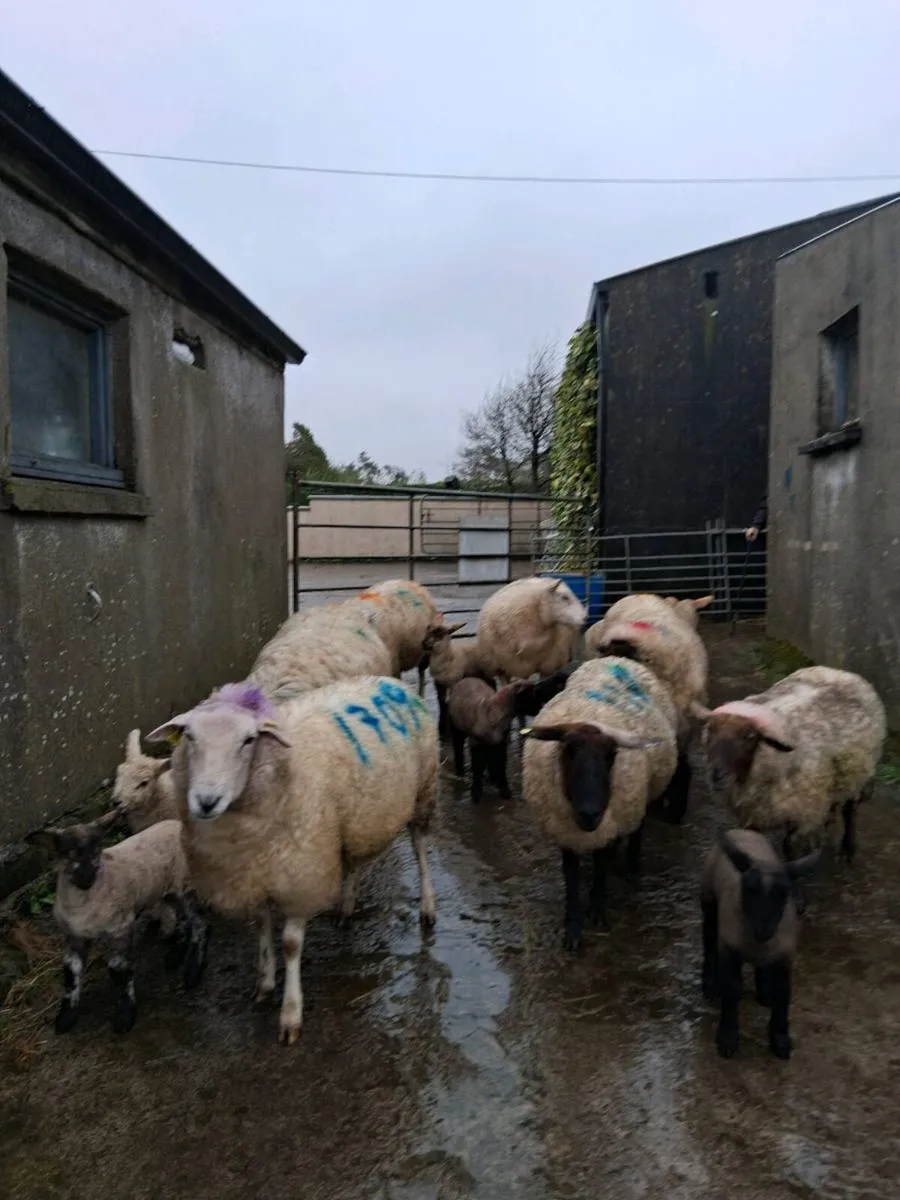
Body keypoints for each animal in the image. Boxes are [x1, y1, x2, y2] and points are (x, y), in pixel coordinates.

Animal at [25, 813, 209, 1034]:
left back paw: (193, 971)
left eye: (98, 849)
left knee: (200, 924)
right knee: (181, 918)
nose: (87, 878)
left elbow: (118, 968)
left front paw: (124, 1015)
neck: (83, 901)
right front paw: (66, 1017)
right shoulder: (76, 936)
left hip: (184, 886)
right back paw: (175, 954)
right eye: (71, 853)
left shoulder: (121, 928)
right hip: (168, 890)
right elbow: (71, 971)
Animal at [146, 677, 438, 1045]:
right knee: (354, 861)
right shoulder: (255, 874)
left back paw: (427, 907)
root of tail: (390, 682)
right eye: (189, 736)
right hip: (353, 820)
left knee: (420, 849)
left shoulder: (301, 874)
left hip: (422, 793)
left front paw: (290, 1014)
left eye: (248, 740)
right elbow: (262, 927)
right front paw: (265, 983)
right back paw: (346, 905)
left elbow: (290, 944)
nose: (207, 801)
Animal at [520, 656, 678, 950]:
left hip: (641, 794)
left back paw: (631, 866)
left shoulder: (608, 827)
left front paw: (596, 909)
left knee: (638, 827)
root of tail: (616, 659)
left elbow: (602, 867)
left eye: (611, 755)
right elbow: (570, 876)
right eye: (569, 751)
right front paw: (572, 928)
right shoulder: (565, 832)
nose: (590, 813)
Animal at [693, 666, 886, 874]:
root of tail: (841, 672)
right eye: (710, 732)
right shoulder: (751, 814)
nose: (716, 774)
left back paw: (847, 850)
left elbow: (790, 846)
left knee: (850, 810)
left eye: (750, 736)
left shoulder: (803, 813)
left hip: (857, 772)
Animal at [700, 829, 820, 1060]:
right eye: (749, 890)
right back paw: (710, 983)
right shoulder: (729, 948)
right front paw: (728, 1036)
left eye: (784, 895)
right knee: (709, 943)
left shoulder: (784, 956)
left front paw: (780, 1039)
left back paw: (764, 992)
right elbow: (731, 989)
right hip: (709, 900)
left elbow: (783, 994)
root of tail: (742, 830)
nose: (764, 930)